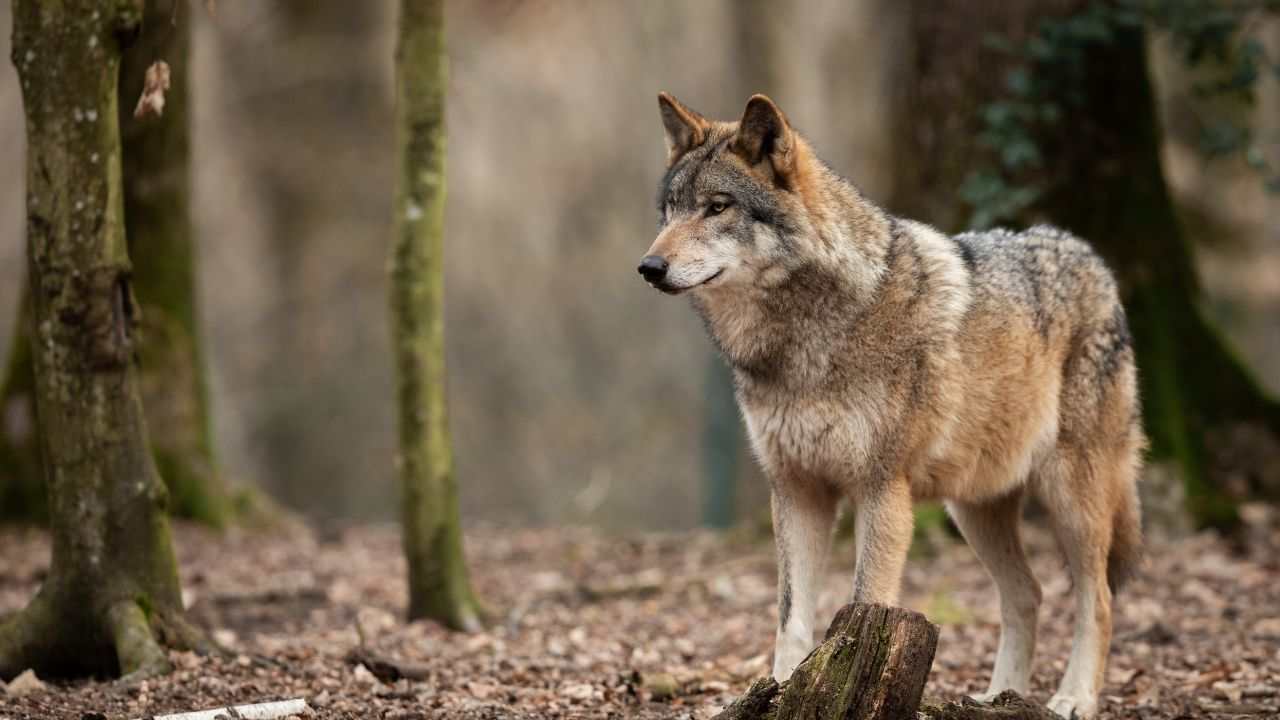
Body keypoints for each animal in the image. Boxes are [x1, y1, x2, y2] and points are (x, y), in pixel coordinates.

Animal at [634, 92, 1146, 712]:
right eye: (670, 210)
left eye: (716, 208)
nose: (649, 267)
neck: (803, 341)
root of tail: (1090, 256)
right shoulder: (797, 490)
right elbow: (790, 620)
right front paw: (780, 692)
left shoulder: (881, 490)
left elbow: (862, 601)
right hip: (973, 509)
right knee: (1028, 593)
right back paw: (995, 698)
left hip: (1072, 498)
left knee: (1098, 601)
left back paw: (1072, 700)